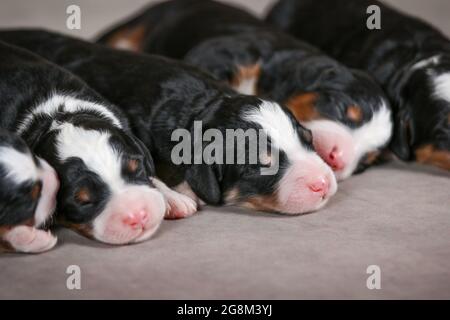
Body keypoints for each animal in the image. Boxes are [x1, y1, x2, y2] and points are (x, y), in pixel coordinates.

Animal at [0, 40, 194, 245]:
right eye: (83, 201)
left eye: (137, 168)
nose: (138, 216)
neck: (58, 115)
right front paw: (27, 237)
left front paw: (174, 198)